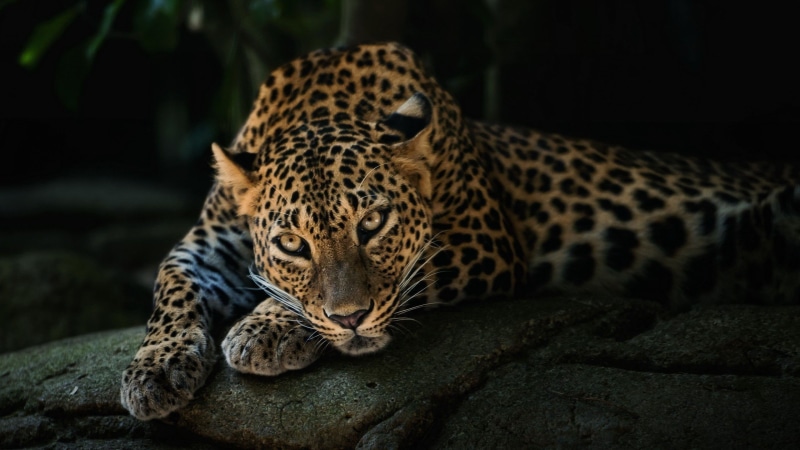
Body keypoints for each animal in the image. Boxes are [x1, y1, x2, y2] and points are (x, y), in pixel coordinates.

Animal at [120, 42, 800, 420]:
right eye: (292, 244)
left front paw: (263, 328)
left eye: (373, 224)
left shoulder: (485, 240)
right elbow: (170, 284)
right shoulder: (207, 243)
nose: (349, 320)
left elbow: (402, 278)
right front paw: (154, 370)